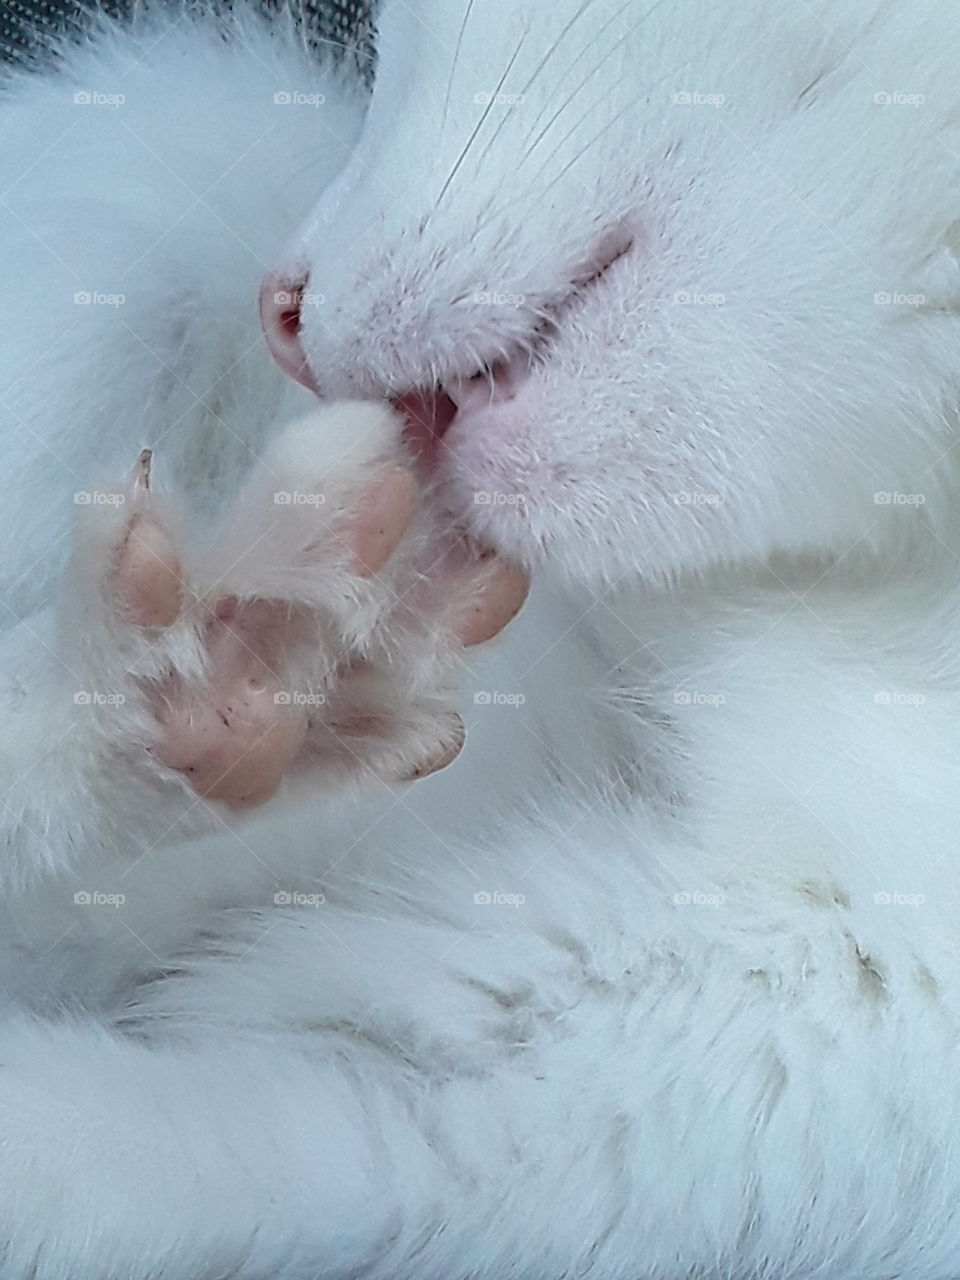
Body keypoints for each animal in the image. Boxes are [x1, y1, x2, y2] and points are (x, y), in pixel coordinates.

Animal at [1, 0, 960, 1274]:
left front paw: (225, 689)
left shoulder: (761, 1063)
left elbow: (171, 1148)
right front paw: (180, 683)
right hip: (181, 120)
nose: (279, 312)